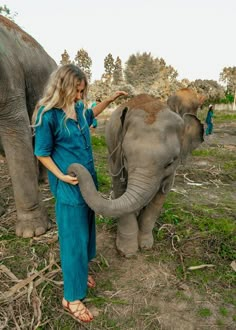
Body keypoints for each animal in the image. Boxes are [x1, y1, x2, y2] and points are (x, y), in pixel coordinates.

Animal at [68, 91, 205, 258]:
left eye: (170, 162)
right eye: (126, 157)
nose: (71, 171)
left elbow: (160, 197)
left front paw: (145, 246)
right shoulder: (117, 155)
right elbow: (120, 189)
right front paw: (127, 251)